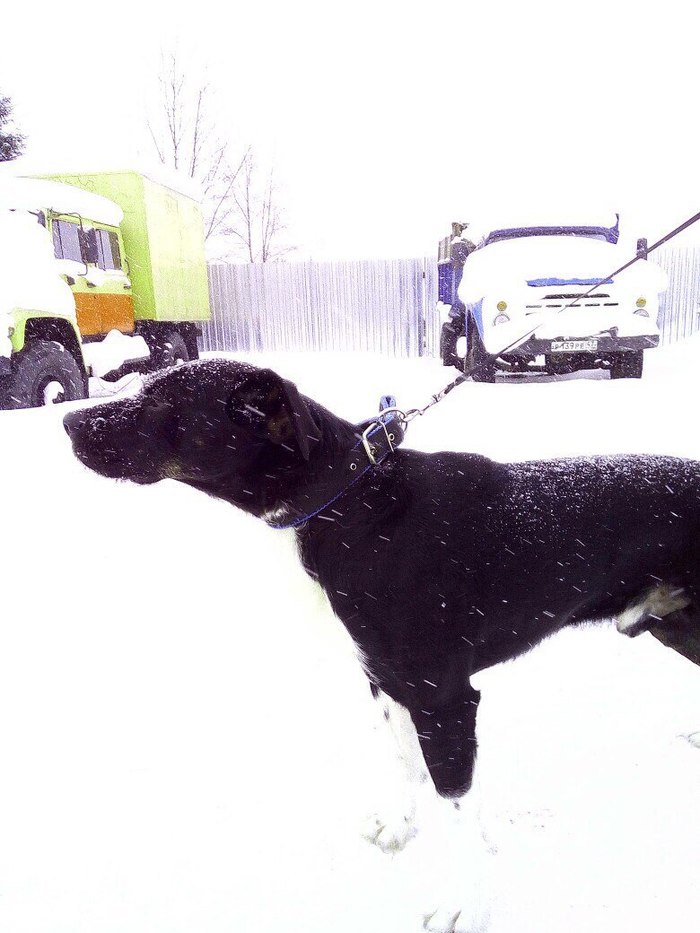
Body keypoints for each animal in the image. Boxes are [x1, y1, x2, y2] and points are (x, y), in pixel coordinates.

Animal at [63, 362, 700, 932]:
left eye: (161, 401)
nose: (68, 420)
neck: (350, 506)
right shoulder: (383, 680)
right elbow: (401, 761)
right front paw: (399, 826)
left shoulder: (444, 701)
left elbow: (456, 808)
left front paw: (463, 905)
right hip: (674, 625)